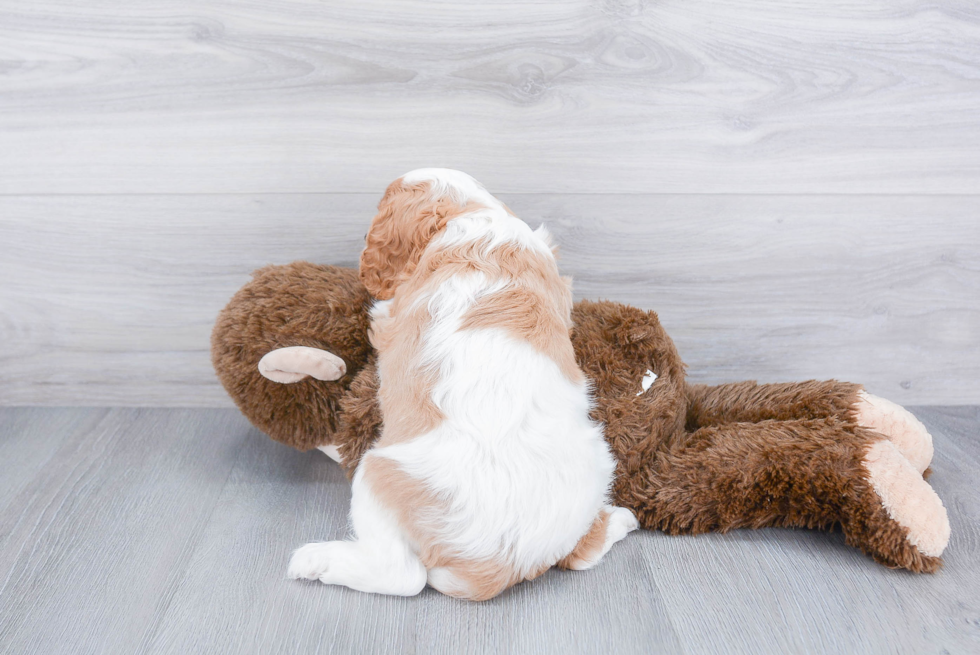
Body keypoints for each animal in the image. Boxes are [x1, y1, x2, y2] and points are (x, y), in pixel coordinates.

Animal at [286, 169, 636, 600]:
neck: (475, 213)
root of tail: (504, 565)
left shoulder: (394, 314)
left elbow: (382, 316)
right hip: (598, 463)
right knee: (583, 554)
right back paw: (621, 520)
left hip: (378, 473)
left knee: (402, 575)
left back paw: (315, 561)